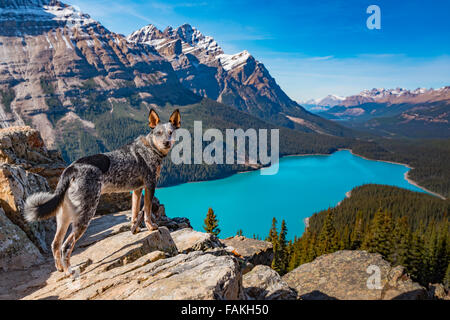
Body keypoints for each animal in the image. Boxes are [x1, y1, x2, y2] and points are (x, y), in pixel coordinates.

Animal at [23, 109, 181, 274]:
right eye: (158, 133)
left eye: (171, 132)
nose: (167, 142)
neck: (150, 147)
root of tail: (70, 169)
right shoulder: (150, 185)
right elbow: (148, 211)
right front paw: (150, 227)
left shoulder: (137, 190)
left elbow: (134, 211)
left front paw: (135, 229)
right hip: (85, 214)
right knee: (66, 246)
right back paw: (69, 271)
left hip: (64, 216)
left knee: (55, 243)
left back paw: (60, 268)